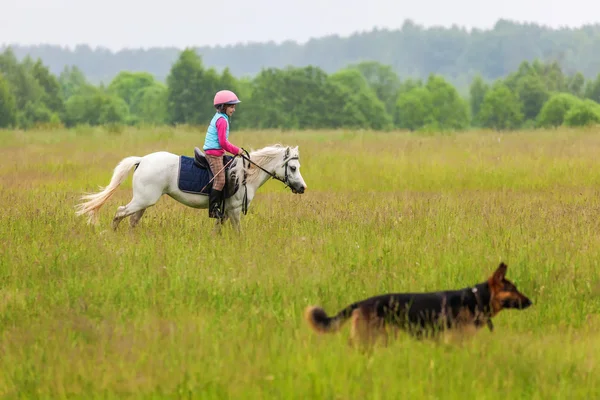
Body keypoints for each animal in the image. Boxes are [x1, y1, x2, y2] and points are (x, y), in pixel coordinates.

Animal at [75, 144, 308, 231]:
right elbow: (238, 231)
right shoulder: (233, 209)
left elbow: (218, 230)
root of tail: (141, 160)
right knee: (120, 213)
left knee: (132, 219)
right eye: (293, 167)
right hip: (143, 199)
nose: (303, 188)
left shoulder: (224, 210)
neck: (244, 175)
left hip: (143, 201)